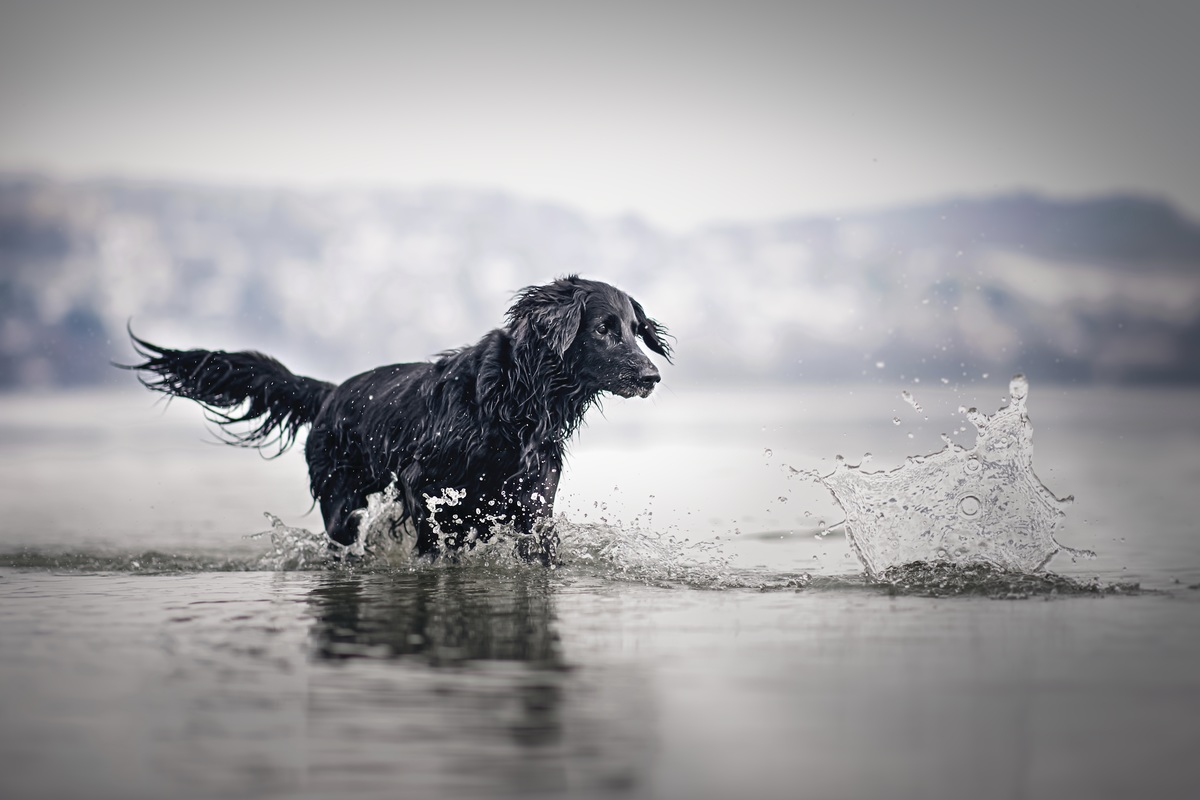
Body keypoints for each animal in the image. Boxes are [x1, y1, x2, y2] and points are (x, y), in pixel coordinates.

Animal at [126, 275, 672, 563]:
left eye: (635, 329)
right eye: (603, 329)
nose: (651, 376)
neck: (515, 400)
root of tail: (330, 392)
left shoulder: (534, 500)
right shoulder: (423, 482)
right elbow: (435, 542)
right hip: (341, 501)